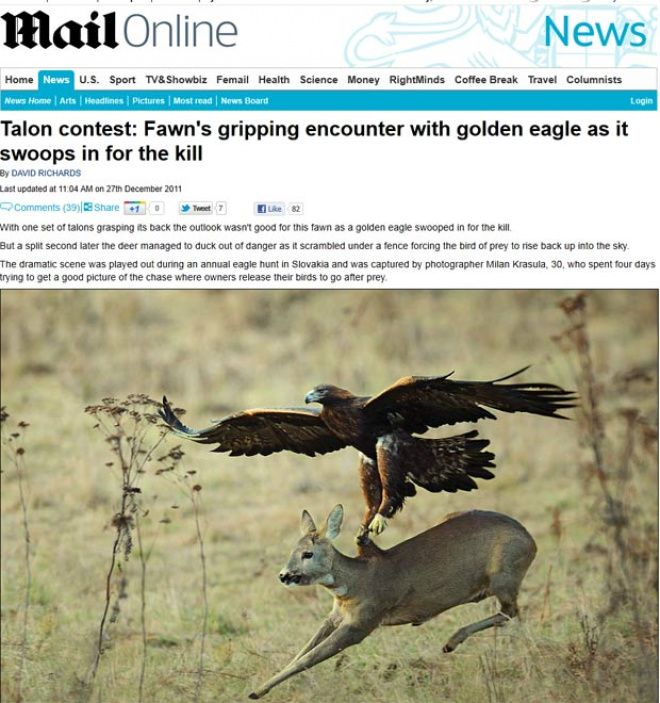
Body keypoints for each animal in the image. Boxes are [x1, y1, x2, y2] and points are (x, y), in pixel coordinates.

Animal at [248, 505, 537, 699]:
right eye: (292, 551)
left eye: (307, 553)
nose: (284, 575)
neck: (356, 581)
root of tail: (531, 542)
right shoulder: (336, 614)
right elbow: (303, 650)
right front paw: (264, 686)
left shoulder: (363, 622)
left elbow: (308, 657)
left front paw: (256, 691)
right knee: (509, 612)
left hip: (504, 575)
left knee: (511, 611)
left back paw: (451, 642)